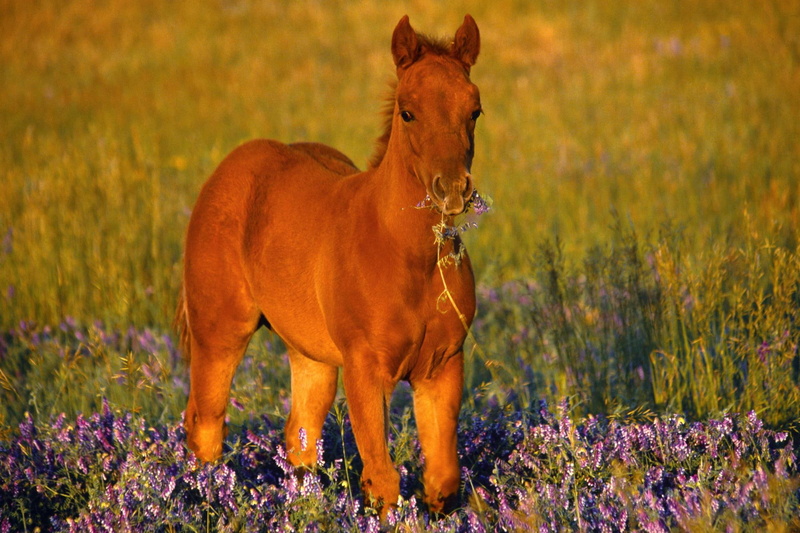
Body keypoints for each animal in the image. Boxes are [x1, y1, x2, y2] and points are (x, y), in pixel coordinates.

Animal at [175, 14, 482, 515]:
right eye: (407, 112)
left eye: (474, 110)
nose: (453, 189)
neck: (409, 258)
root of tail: (228, 168)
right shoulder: (366, 370)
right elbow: (383, 480)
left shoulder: (441, 366)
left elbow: (441, 479)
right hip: (219, 332)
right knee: (205, 426)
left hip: (310, 354)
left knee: (299, 438)